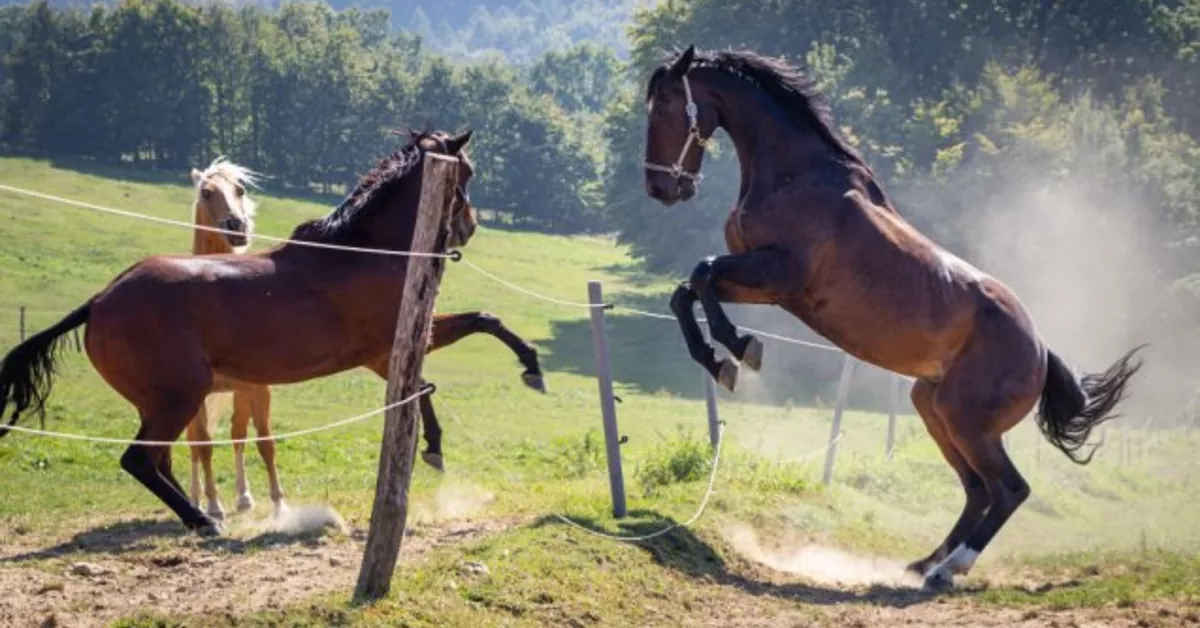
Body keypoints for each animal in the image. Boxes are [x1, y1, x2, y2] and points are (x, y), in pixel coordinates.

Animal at [0, 130, 478, 537]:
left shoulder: (386, 355)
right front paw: (438, 444)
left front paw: (433, 445)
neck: (363, 251)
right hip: (182, 396)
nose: (468, 227)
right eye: (468, 171)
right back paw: (204, 521)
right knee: (139, 459)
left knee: (161, 459)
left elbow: (438, 369)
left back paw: (200, 515)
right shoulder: (397, 345)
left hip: (160, 402)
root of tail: (99, 301)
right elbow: (470, 335)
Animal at [641, 46, 1145, 591]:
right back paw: (923, 563)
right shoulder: (766, 285)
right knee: (977, 489)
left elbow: (702, 273)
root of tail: (1039, 350)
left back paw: (948, 570)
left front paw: (739, 350)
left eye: (665, 106)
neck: (797, 178)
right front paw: (718, 360)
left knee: (1009, 490)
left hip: (968, 421)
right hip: (934, 408)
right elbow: (687, 292)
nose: (659, 186)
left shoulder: (781, 273)